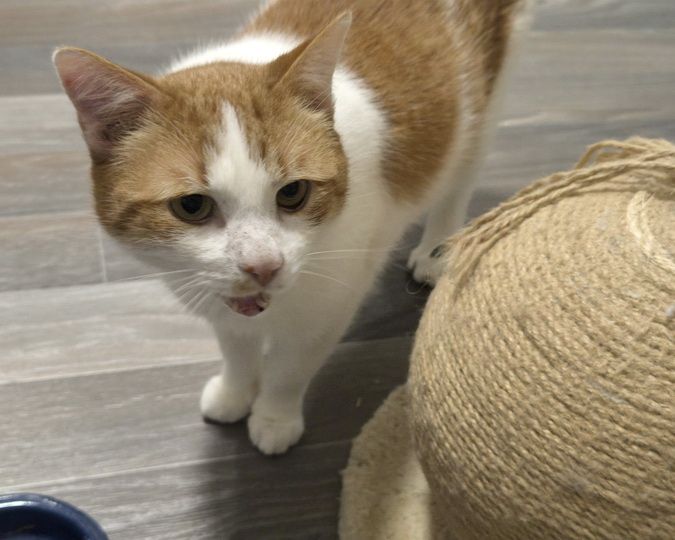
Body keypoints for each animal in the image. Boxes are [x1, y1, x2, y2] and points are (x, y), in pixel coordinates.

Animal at [54, 0, 531, 454]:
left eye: (293, 193)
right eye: (191, 206)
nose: (263, 266)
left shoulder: (327, 306)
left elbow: (290, 368)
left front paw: (273, 418)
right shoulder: (225, 305)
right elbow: (236, 348)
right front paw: (234, 392)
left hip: (487, 100)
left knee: (460, 177)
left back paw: (437, 247)